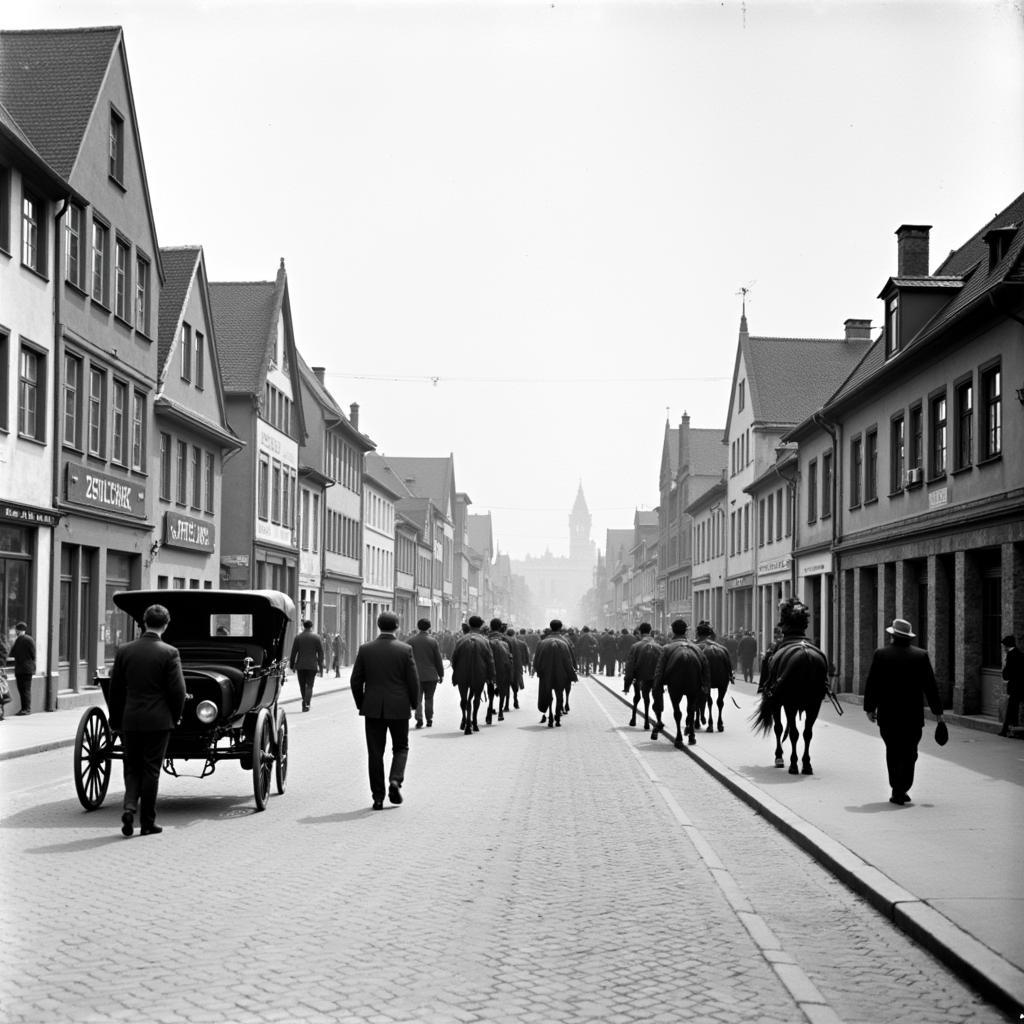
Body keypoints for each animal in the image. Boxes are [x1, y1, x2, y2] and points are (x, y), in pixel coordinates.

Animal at [753, 634, 831, 770]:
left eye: (766, 659)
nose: (762, 687)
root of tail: (806, 655)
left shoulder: (778, 703)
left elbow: (779, 728)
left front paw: (779, 756)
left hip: (790, 704)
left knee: (793, 733)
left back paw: (793, 764)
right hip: (814, 705)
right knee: (807, 733)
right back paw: (806, 764)